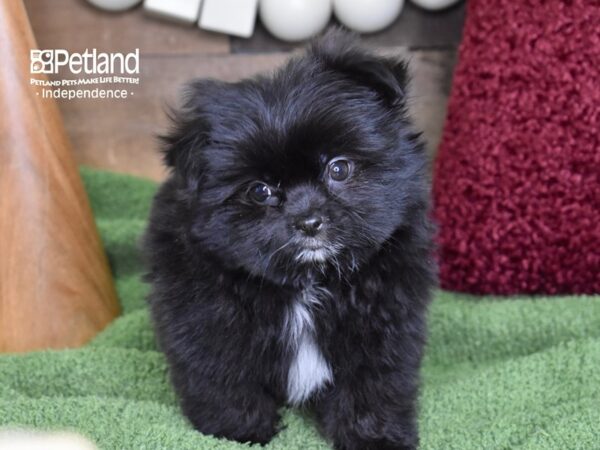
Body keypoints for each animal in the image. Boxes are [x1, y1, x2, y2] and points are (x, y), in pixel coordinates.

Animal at [145, 30, 436, 450]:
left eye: (339, 168)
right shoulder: (204, 319)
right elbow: (222, 374)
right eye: (260, 191)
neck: (308, 281)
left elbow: (373, 382)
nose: (309, 221)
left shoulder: (385, 321)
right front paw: (238, 431)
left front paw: (375, 437)